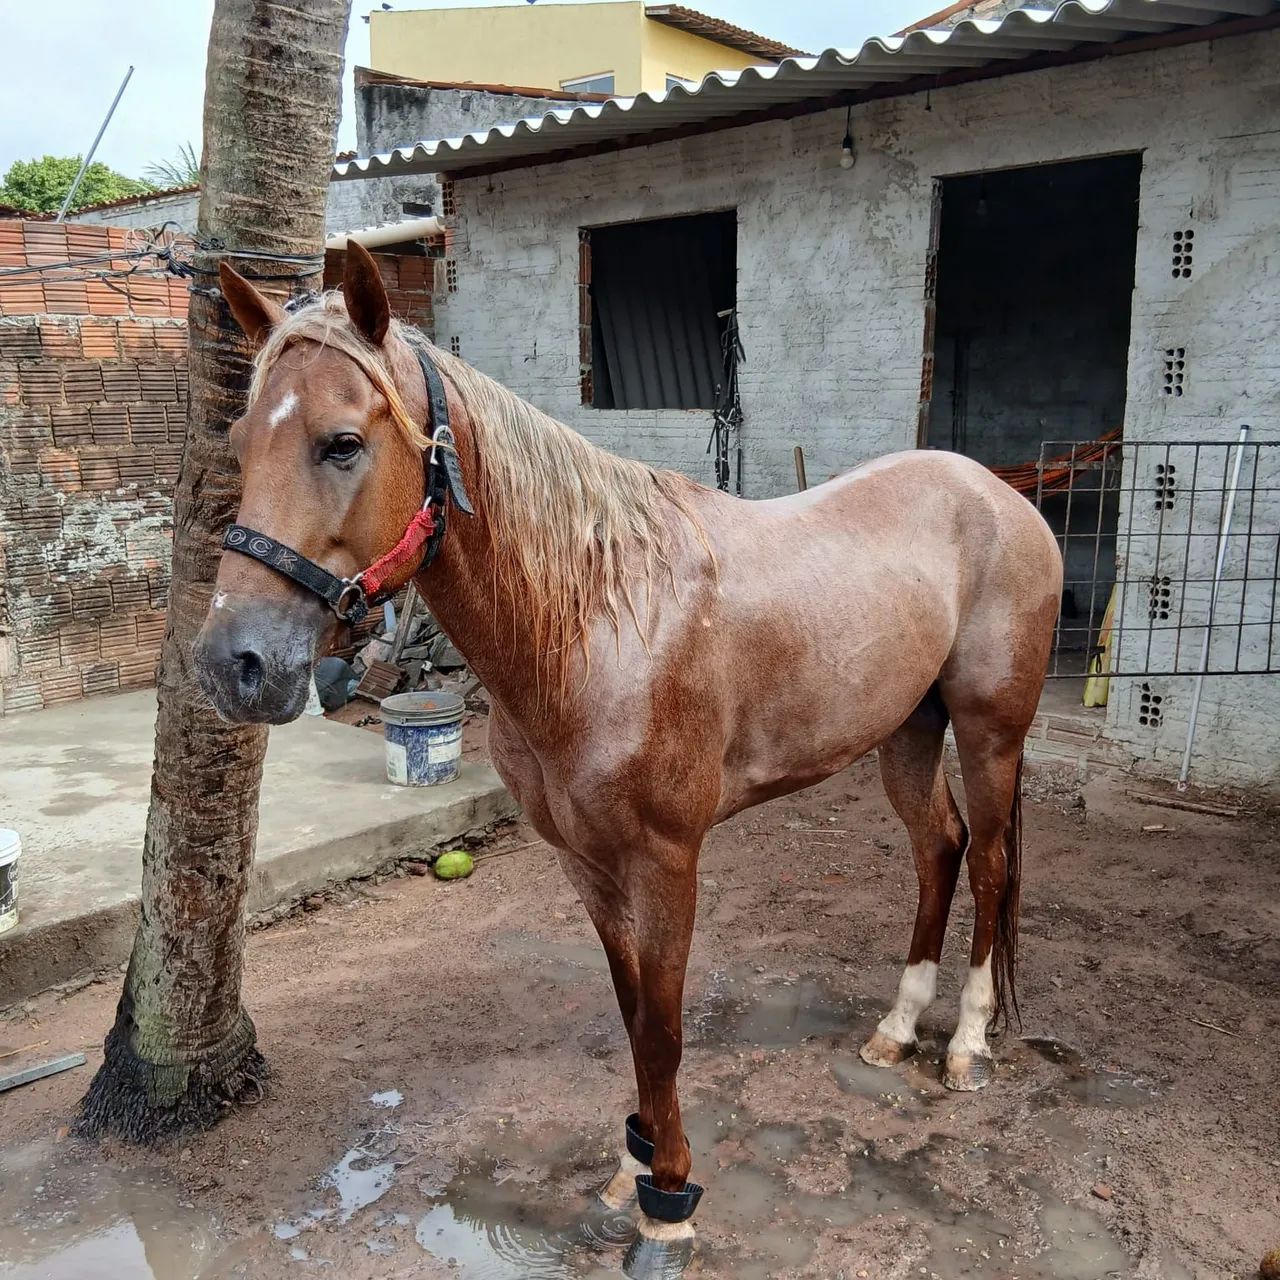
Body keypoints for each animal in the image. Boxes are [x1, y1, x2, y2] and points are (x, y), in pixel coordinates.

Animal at [194, 242, 1062, 1277]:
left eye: (340, 444)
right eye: (239, 444)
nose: (234, 664)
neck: (598, 621)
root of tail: (1001, 494)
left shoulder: (667, 862)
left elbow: (662, 1027)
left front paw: (670, 1203)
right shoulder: (586, 862)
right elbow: (629, 1007)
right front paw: (634, 1163)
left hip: (988, 730)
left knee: (995, 861)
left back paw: (966, 1042)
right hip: (906, 732)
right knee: (940, 849)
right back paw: (896, 1030)